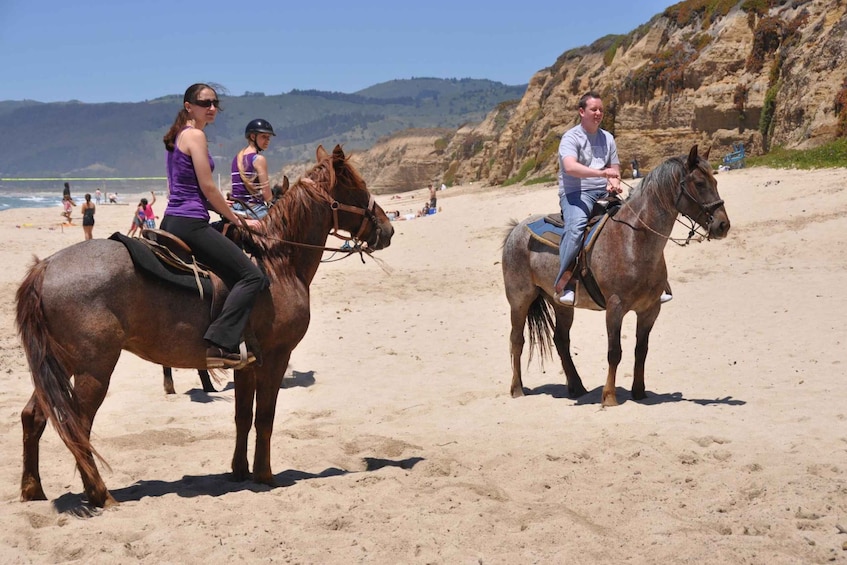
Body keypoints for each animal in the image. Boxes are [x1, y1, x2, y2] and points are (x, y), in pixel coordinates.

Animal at [16, 144, 394, 506]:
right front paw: (265, 475)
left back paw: (33, 490)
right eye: (359, 186)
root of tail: (46, 267)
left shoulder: (247, 364)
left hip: (60, 362)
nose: (388, 229)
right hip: (94, 368)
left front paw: (240, 471)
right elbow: (265, 417)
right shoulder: (276, 357)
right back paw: (99, 494)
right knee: (77, 426)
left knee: (34, 416)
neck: (280, 264)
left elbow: (243, 417)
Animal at [504, 143, 728, 404]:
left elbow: (641, 350)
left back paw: (577, 387)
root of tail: (516, 229)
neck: (633, 241)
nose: (723, 225)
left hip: (560, 303)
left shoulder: (650, 310)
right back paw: (517, 388)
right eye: (700, 183)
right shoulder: (615, 308)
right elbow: (614, 352)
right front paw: (609, 396)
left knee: (560, 340)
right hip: (520, 300)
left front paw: (639, 391)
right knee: (517, 340)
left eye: (715, 180)